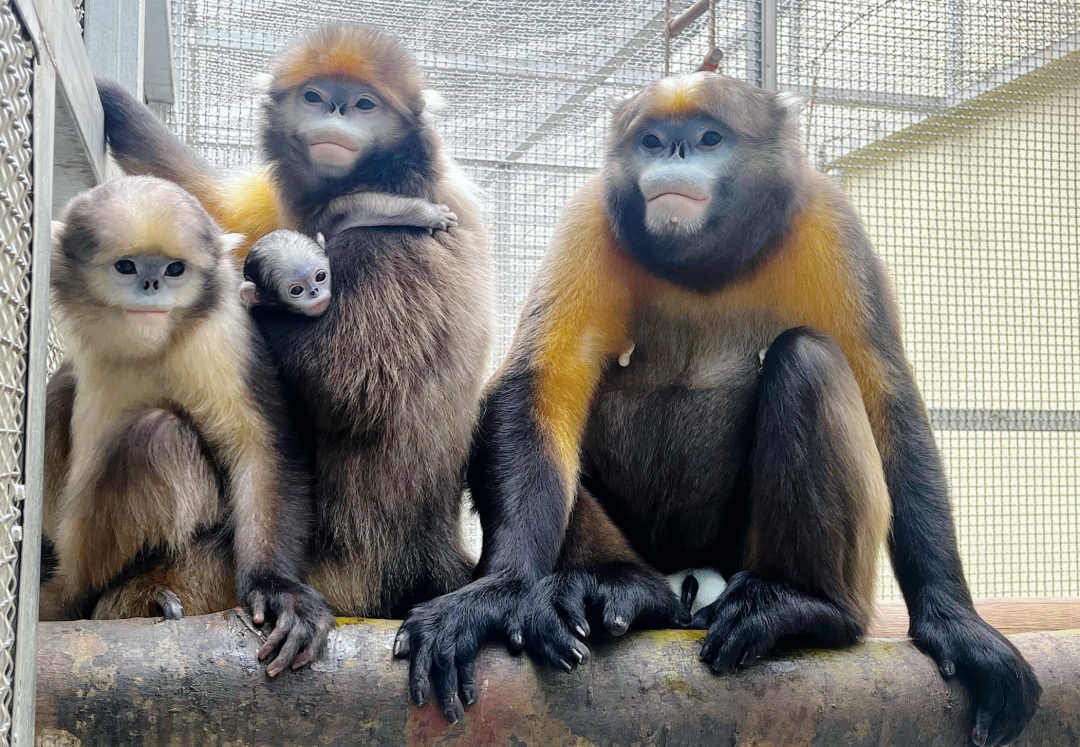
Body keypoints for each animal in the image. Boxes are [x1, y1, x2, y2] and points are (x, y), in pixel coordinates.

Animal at [401, 71, 1041, 747]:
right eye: (652, 141)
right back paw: (619, 589)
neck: (704, 269)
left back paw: (810, 607)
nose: (674, 154)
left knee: (806, 357)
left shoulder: (827, 217)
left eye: (709, 138)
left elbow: (890, 399)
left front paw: (954, 622)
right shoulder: (591, 212)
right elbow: (539, 384)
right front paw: (500, 591)